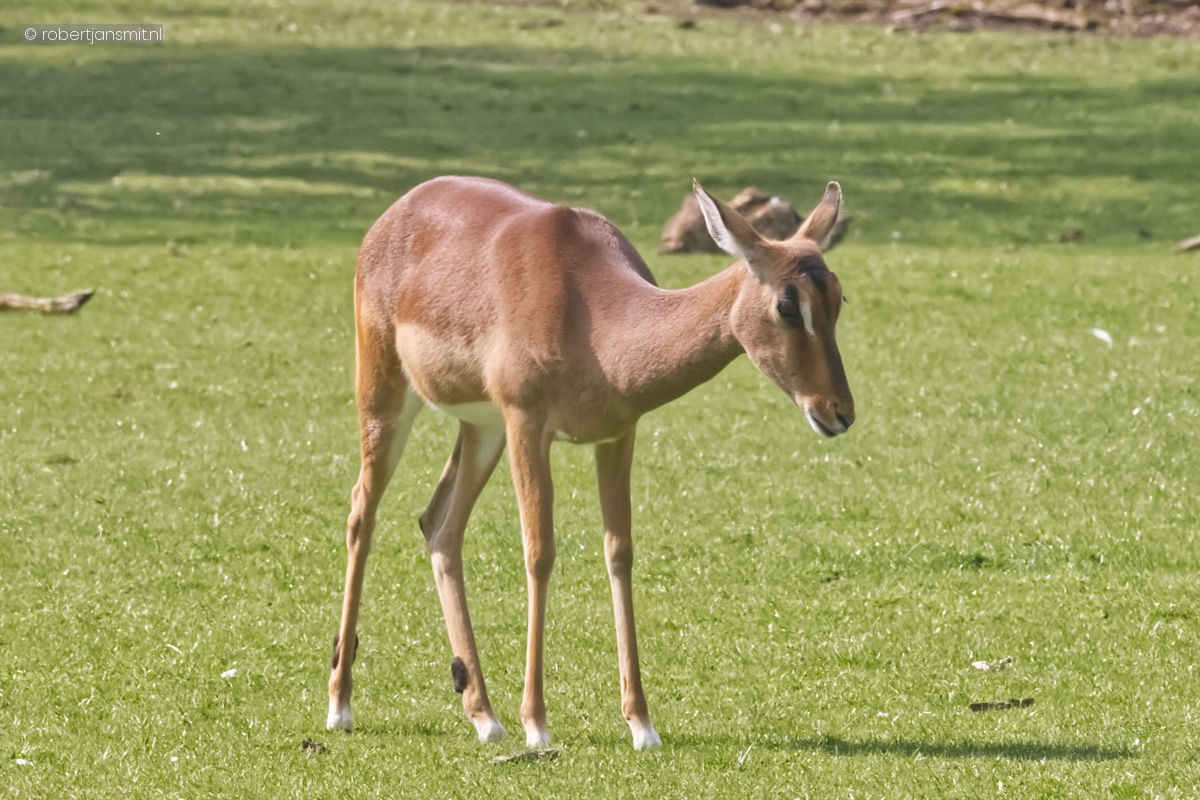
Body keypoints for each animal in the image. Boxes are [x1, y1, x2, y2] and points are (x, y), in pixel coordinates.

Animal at [327, 176, 854, 750]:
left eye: (838, 297)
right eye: (788, 305)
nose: (839, 412)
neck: (596, 318)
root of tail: (399, 210)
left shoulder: (618, 434)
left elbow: (619, 553)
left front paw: (642, 724)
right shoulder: (528, 424)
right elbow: (539, 553)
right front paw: (537, 723)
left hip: (482, 428)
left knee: (440, 525)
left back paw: (484, 715)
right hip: (386, 394)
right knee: (361, 513)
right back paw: (340, 705)